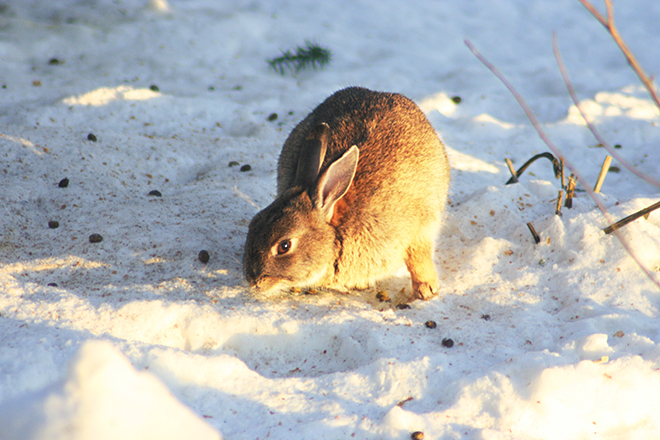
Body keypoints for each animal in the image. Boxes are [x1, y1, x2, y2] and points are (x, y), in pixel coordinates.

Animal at [245, 86, 452, 300]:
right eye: (253, 223)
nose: (254, 281)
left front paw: (427, 291)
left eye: (284, 246)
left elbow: (419, 259)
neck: (337, 230)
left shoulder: (418, 229)